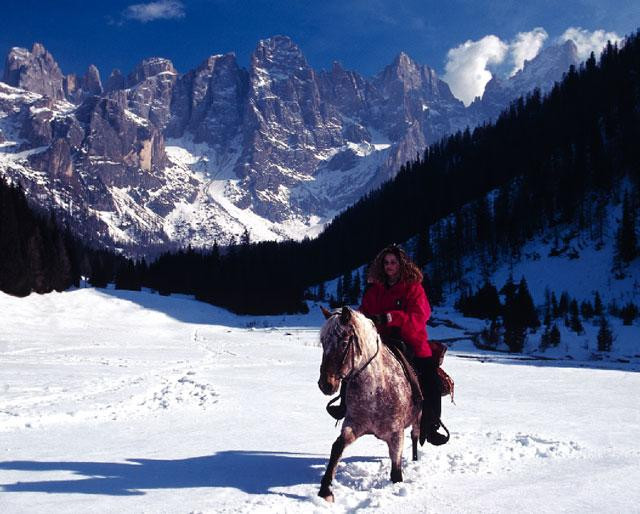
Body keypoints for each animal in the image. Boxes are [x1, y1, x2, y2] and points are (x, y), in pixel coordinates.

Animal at [318, 304, 422, 500]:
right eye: (323, 342)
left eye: (344, 342)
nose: (325, 384)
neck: (376, 390)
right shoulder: (353, 424)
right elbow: (337, 447)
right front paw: (325, 490)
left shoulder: (396, 434)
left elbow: (396, 473)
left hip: (417, 418)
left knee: (415, 436)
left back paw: (415, 460)